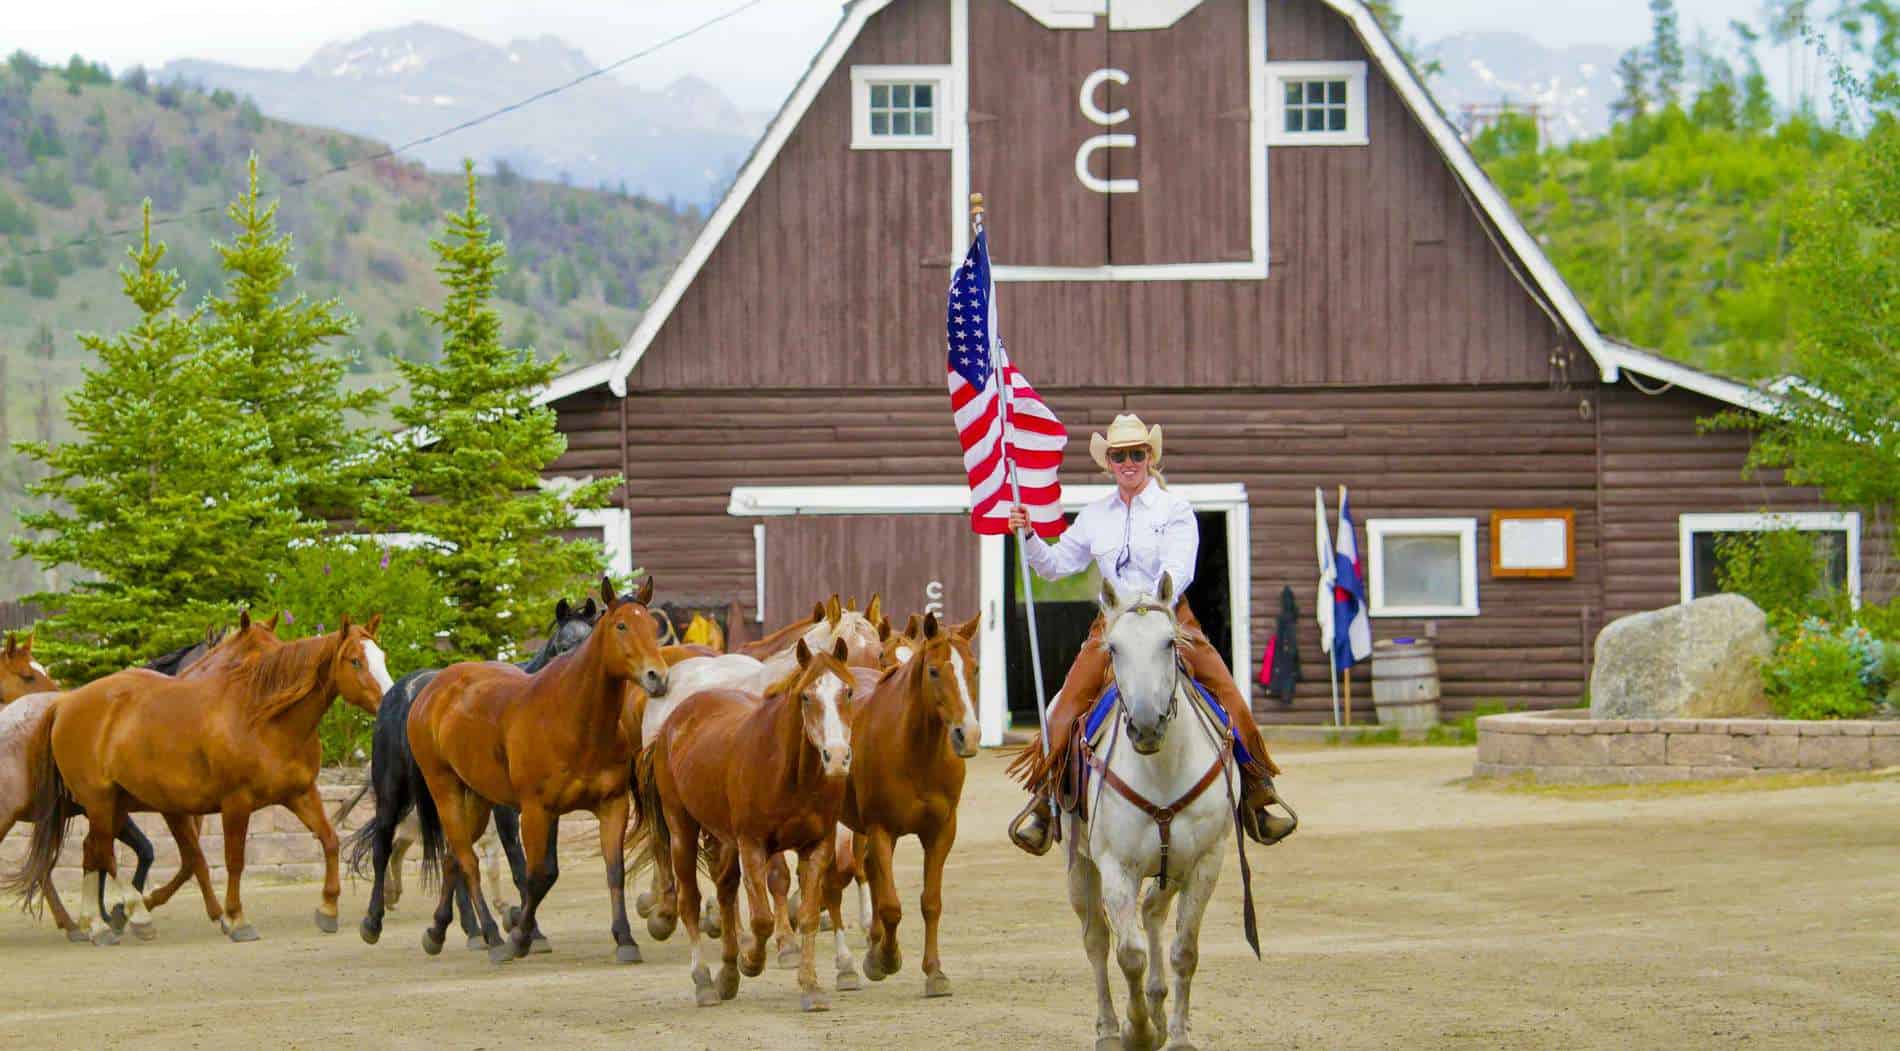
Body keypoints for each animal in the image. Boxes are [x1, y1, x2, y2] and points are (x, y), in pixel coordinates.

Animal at [2, 615, 389, 942]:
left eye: (381, 656)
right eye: (355, 661)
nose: (388, 701)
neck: (265, 722)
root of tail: (63, 705)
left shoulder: (300, 793)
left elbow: (330, 841)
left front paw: (328, 908)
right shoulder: (230, 804)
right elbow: (228, 860)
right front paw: (235, 918)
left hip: (107, 808)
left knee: (89, 854)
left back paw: (94, 923)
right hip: (95, 803)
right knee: (101, 855)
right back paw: (128, 916)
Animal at [347, 596, 600, 950]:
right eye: (562, 647)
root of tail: (401, 692)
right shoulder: (506, 811)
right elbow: (520, 866)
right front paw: (529, 931)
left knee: (454, 852)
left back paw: (472, 928)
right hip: (392, 791)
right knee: (384, 845)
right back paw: (373, 921)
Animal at [408, 577, 668, 961]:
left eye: (652, 625)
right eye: (621, 625)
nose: (657, 677)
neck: (571, 718)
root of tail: (432, 689)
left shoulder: (612, 804)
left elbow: (613, 870)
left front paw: (625, 939)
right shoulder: (534, 810)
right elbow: (536, 875)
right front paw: (520, 936)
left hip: (477, 797)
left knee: (454, 856)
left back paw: (437, 931)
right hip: (445, 789)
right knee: (468, 861)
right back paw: (493, 937)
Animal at [634, 634, 858, 1011]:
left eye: (848, 692)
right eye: (806, 696)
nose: (838, 756)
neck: (789, 773)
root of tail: (671, 724)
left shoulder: (817, 845)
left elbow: (809, 915)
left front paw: (811, 987)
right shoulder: (752, 844)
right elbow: (763, 919)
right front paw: (751, 960)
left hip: (722, 839)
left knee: (725, 893)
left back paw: (726, 975)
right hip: (682, 830)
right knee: (690, 902)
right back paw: (705, 982)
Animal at [1071, 573, 1246, 1049]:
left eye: (1169, 642)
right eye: (1113, 648)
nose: (1146, 726)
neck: (1162, 767)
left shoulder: (1205, 861)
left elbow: (1184, 950)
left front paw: (1177, 1033)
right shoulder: (1115, 866)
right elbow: (1127, 953)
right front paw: (1138, 1031)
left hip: (1173, 868)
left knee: (1152, 911)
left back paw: (1158, 1006)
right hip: (1078, 862)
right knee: (1096, 940)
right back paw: (1109, 1029)